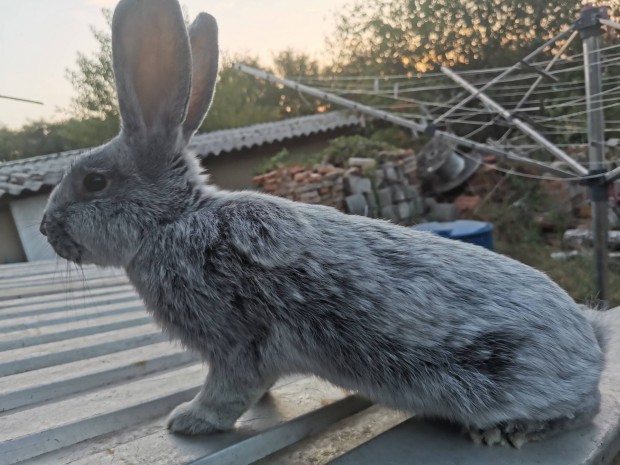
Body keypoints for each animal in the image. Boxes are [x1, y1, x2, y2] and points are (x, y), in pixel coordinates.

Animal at [41, 0, 616, 450]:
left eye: (93, 182)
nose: (46, 228)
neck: (174, 221)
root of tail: (591, 342)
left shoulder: (234, 344)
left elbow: (228, 390)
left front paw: (188, 422)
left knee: (584, 408)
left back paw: (504, 432)